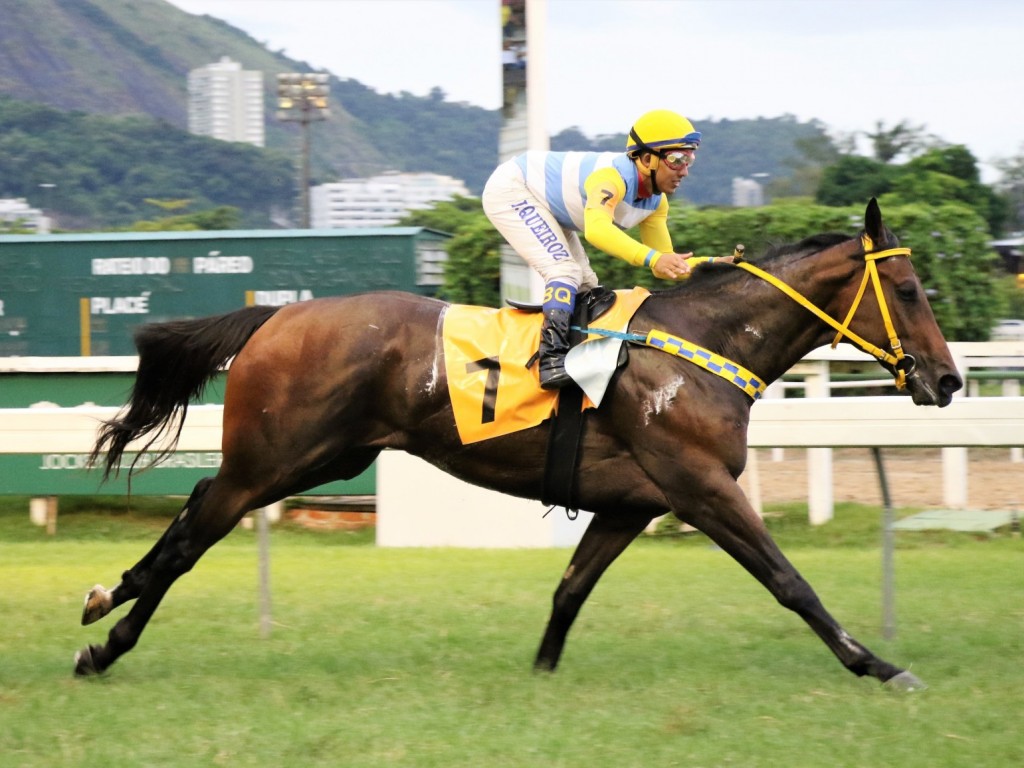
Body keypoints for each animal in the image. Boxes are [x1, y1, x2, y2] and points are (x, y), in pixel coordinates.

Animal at [77, 199, 958, 692]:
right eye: (910, 289)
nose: (947, 380)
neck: (701, 343)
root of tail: (278, 313)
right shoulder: (701, 486)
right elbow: (790, 582)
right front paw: (879, 665)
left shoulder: (633, 502)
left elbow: (570, 590)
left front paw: (539, 674)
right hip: (279, 456)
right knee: (196, 529)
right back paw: (107, 632)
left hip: (322, 457)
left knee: (198, 510)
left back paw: (109, 612)